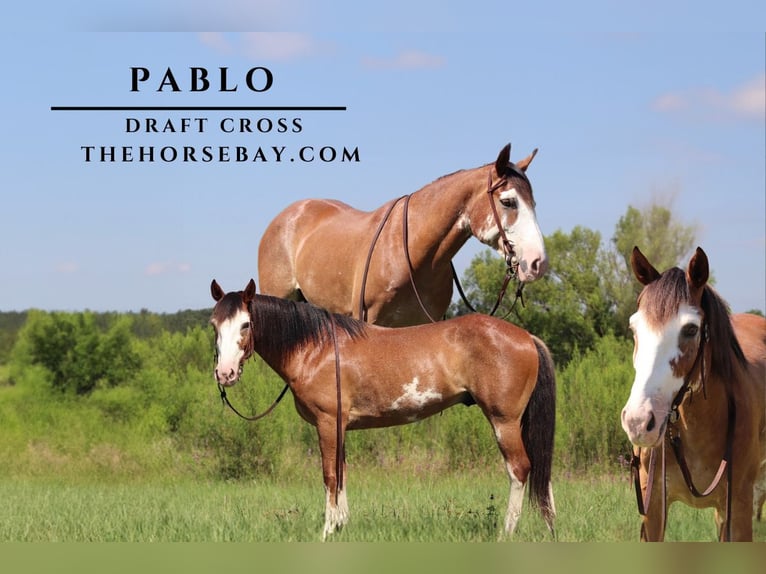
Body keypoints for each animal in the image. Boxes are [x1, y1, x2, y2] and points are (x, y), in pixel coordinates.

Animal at [210, 282, 560, 544]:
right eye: (214, 326)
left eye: (245, 324)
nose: (225, 373)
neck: (317, 348)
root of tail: (527, 337)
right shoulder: (340, 427)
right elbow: (342, 474)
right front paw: (341, 526)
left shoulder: (327, 422)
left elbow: (330, 475)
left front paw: (326, 531)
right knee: (541, 470)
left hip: (504, 422)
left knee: (519, 469)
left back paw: (506, 532)